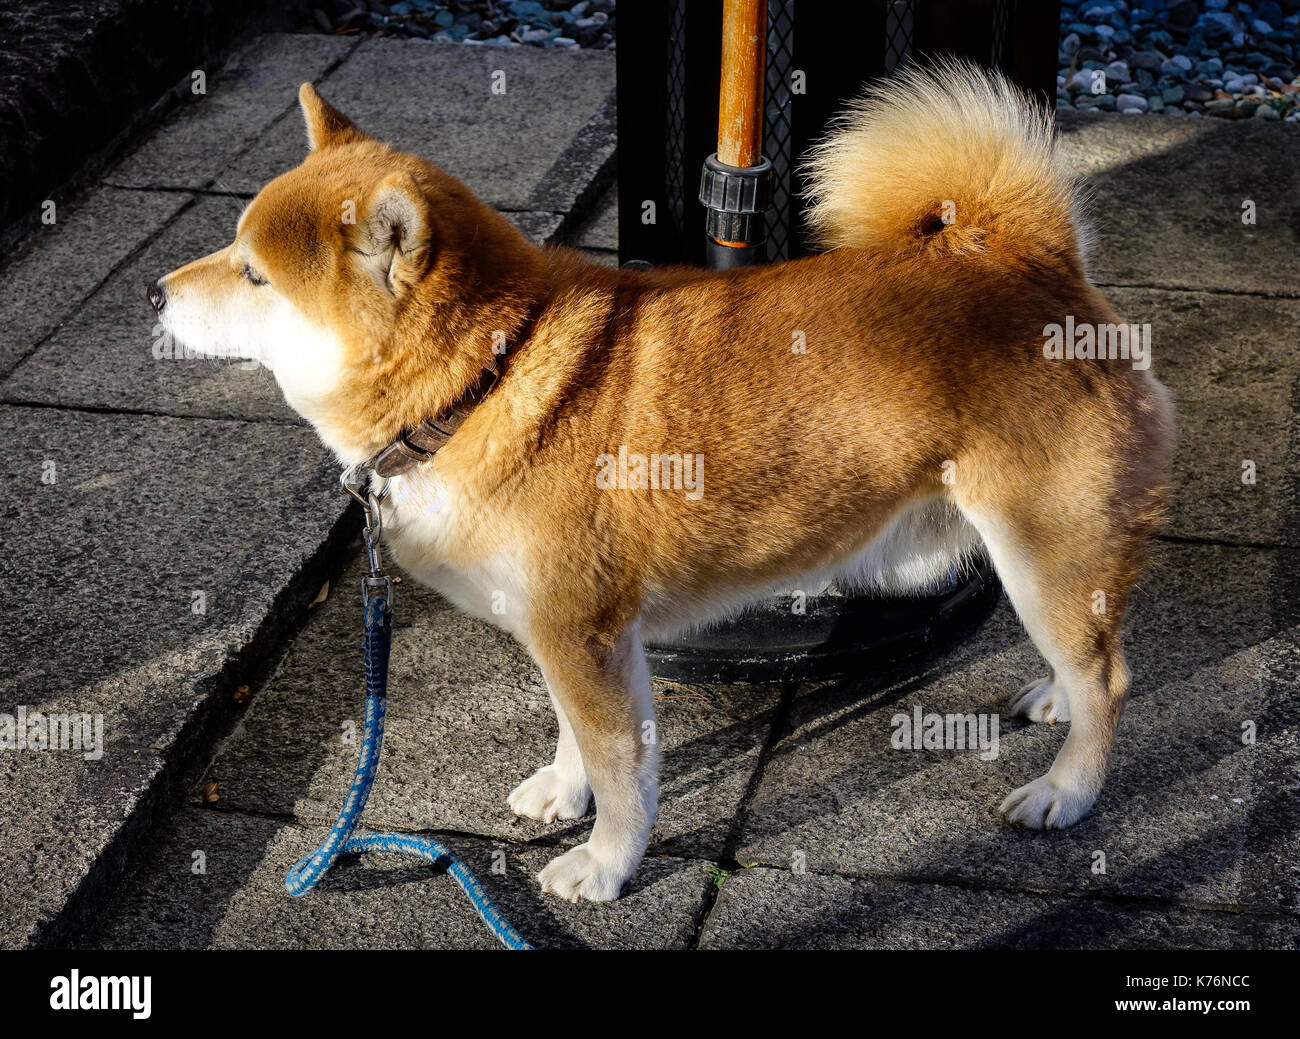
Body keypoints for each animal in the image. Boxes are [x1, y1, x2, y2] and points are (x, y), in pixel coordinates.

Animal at [154, 63, 1180, 899]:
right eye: (233, 250)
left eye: (253, 273)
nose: (155, 292)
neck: (486, 381)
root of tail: (1036, 261)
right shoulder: (565, 635)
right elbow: (575, 737)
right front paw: (563, 791)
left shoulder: (586, 634)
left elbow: (622, 776)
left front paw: (606, 865)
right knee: (1088, 658)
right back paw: (1053, 696)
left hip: (1043, 548)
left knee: (1111, 676)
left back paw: (1066, 789)